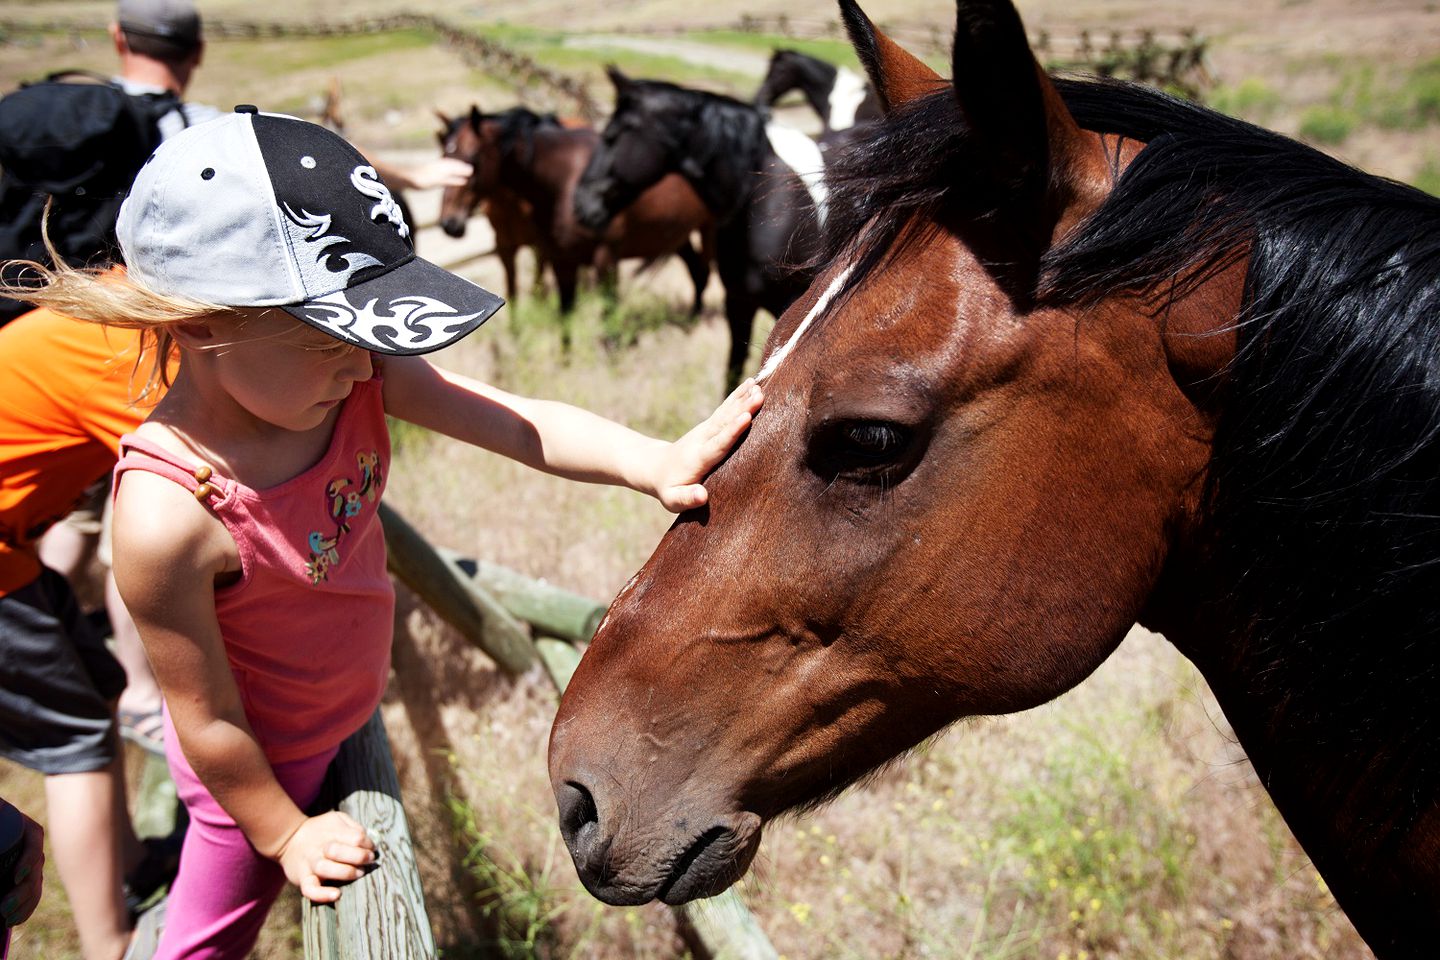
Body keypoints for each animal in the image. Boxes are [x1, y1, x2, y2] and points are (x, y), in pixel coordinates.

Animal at [432, 105, 714, 322]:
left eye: (473, 159)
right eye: (444, 154)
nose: (450, 223)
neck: (566, 180)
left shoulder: (605, 258)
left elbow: (607, 316)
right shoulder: (558, 259)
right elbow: (561, 317)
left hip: (709, 230)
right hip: (677, 233)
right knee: (696, 270)